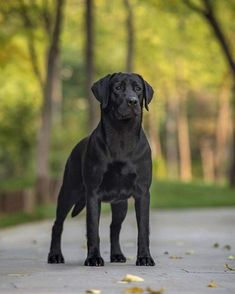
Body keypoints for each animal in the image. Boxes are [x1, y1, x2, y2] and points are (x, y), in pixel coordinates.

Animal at [47, 72, 155, 266]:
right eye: (117, 88)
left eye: (138, 88)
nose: (133, 101)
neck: (122, 136)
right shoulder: (93, 193)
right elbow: (93, 229)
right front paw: (94, 258)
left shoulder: (142, 193)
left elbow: (143, 229)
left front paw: (144, 257)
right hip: (68, 192)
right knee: (57, 224)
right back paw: (55, 255)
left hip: (120, 204)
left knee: (114, 228)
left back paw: (117, 255)